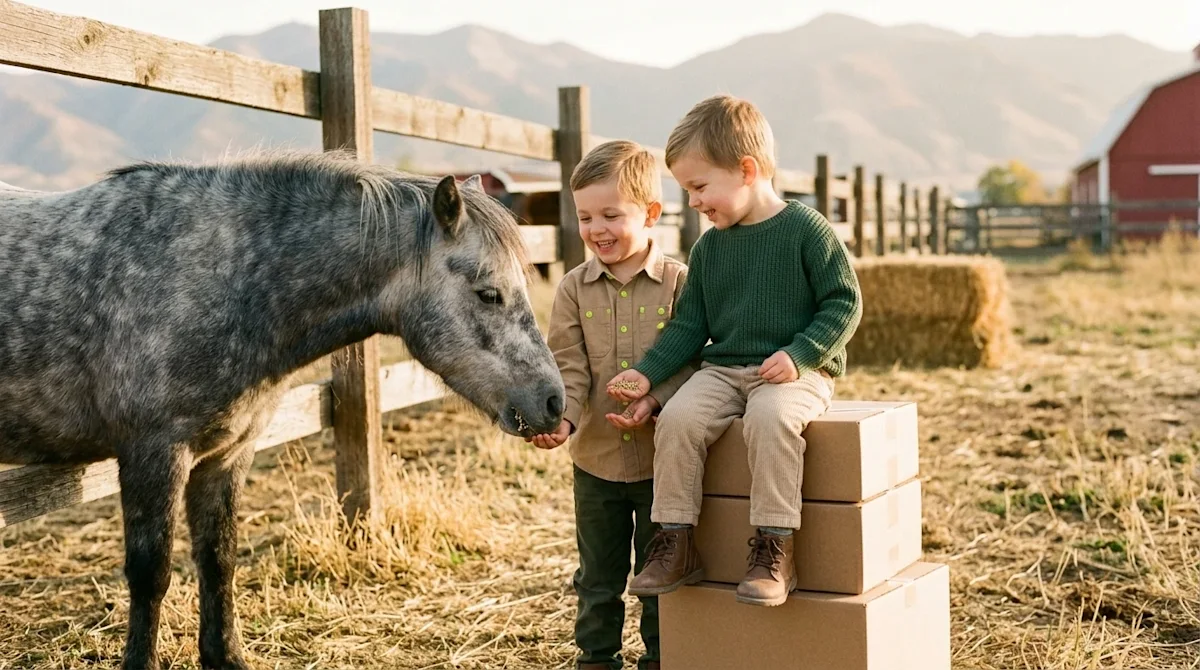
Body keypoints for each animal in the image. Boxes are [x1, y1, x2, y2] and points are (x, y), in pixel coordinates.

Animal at [0, 149, 566, 670]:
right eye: (489, 293)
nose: (553, 402)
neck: (218, 278)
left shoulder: (226, 454)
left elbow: (218, 560)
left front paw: (225, 657)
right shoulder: (152, 455)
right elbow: (150, 573)